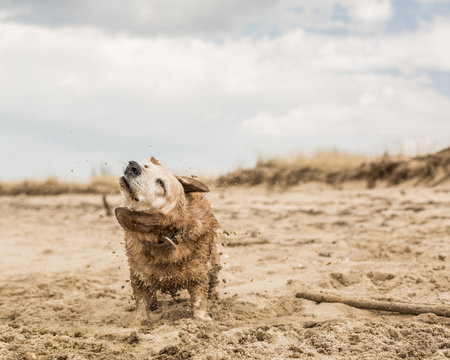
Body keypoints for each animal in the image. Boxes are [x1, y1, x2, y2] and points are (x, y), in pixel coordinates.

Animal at [114, 156, 220, 322]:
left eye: (161, 184)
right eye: (146, 166)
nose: (133, 165)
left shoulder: (198, 274)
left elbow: (199, 300)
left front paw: (203, 319)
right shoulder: (138, 275)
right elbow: (141, 300)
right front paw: (140, 321)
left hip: (213, 261)